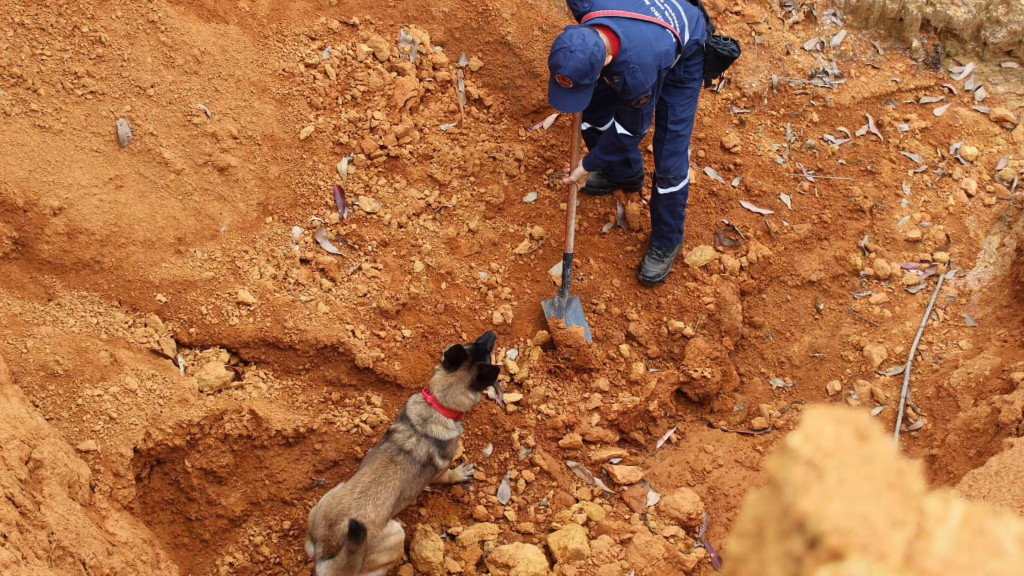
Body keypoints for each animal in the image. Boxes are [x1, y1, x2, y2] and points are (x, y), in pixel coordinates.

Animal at [305, 330, 501, 569]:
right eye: (487, 352)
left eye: (472, 344)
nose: (492, 333)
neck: (438, 405)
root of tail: (328, 546)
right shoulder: (441, 472)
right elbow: (448, 475)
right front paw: (459, 474)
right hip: (396, 534)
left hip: (330, 496)